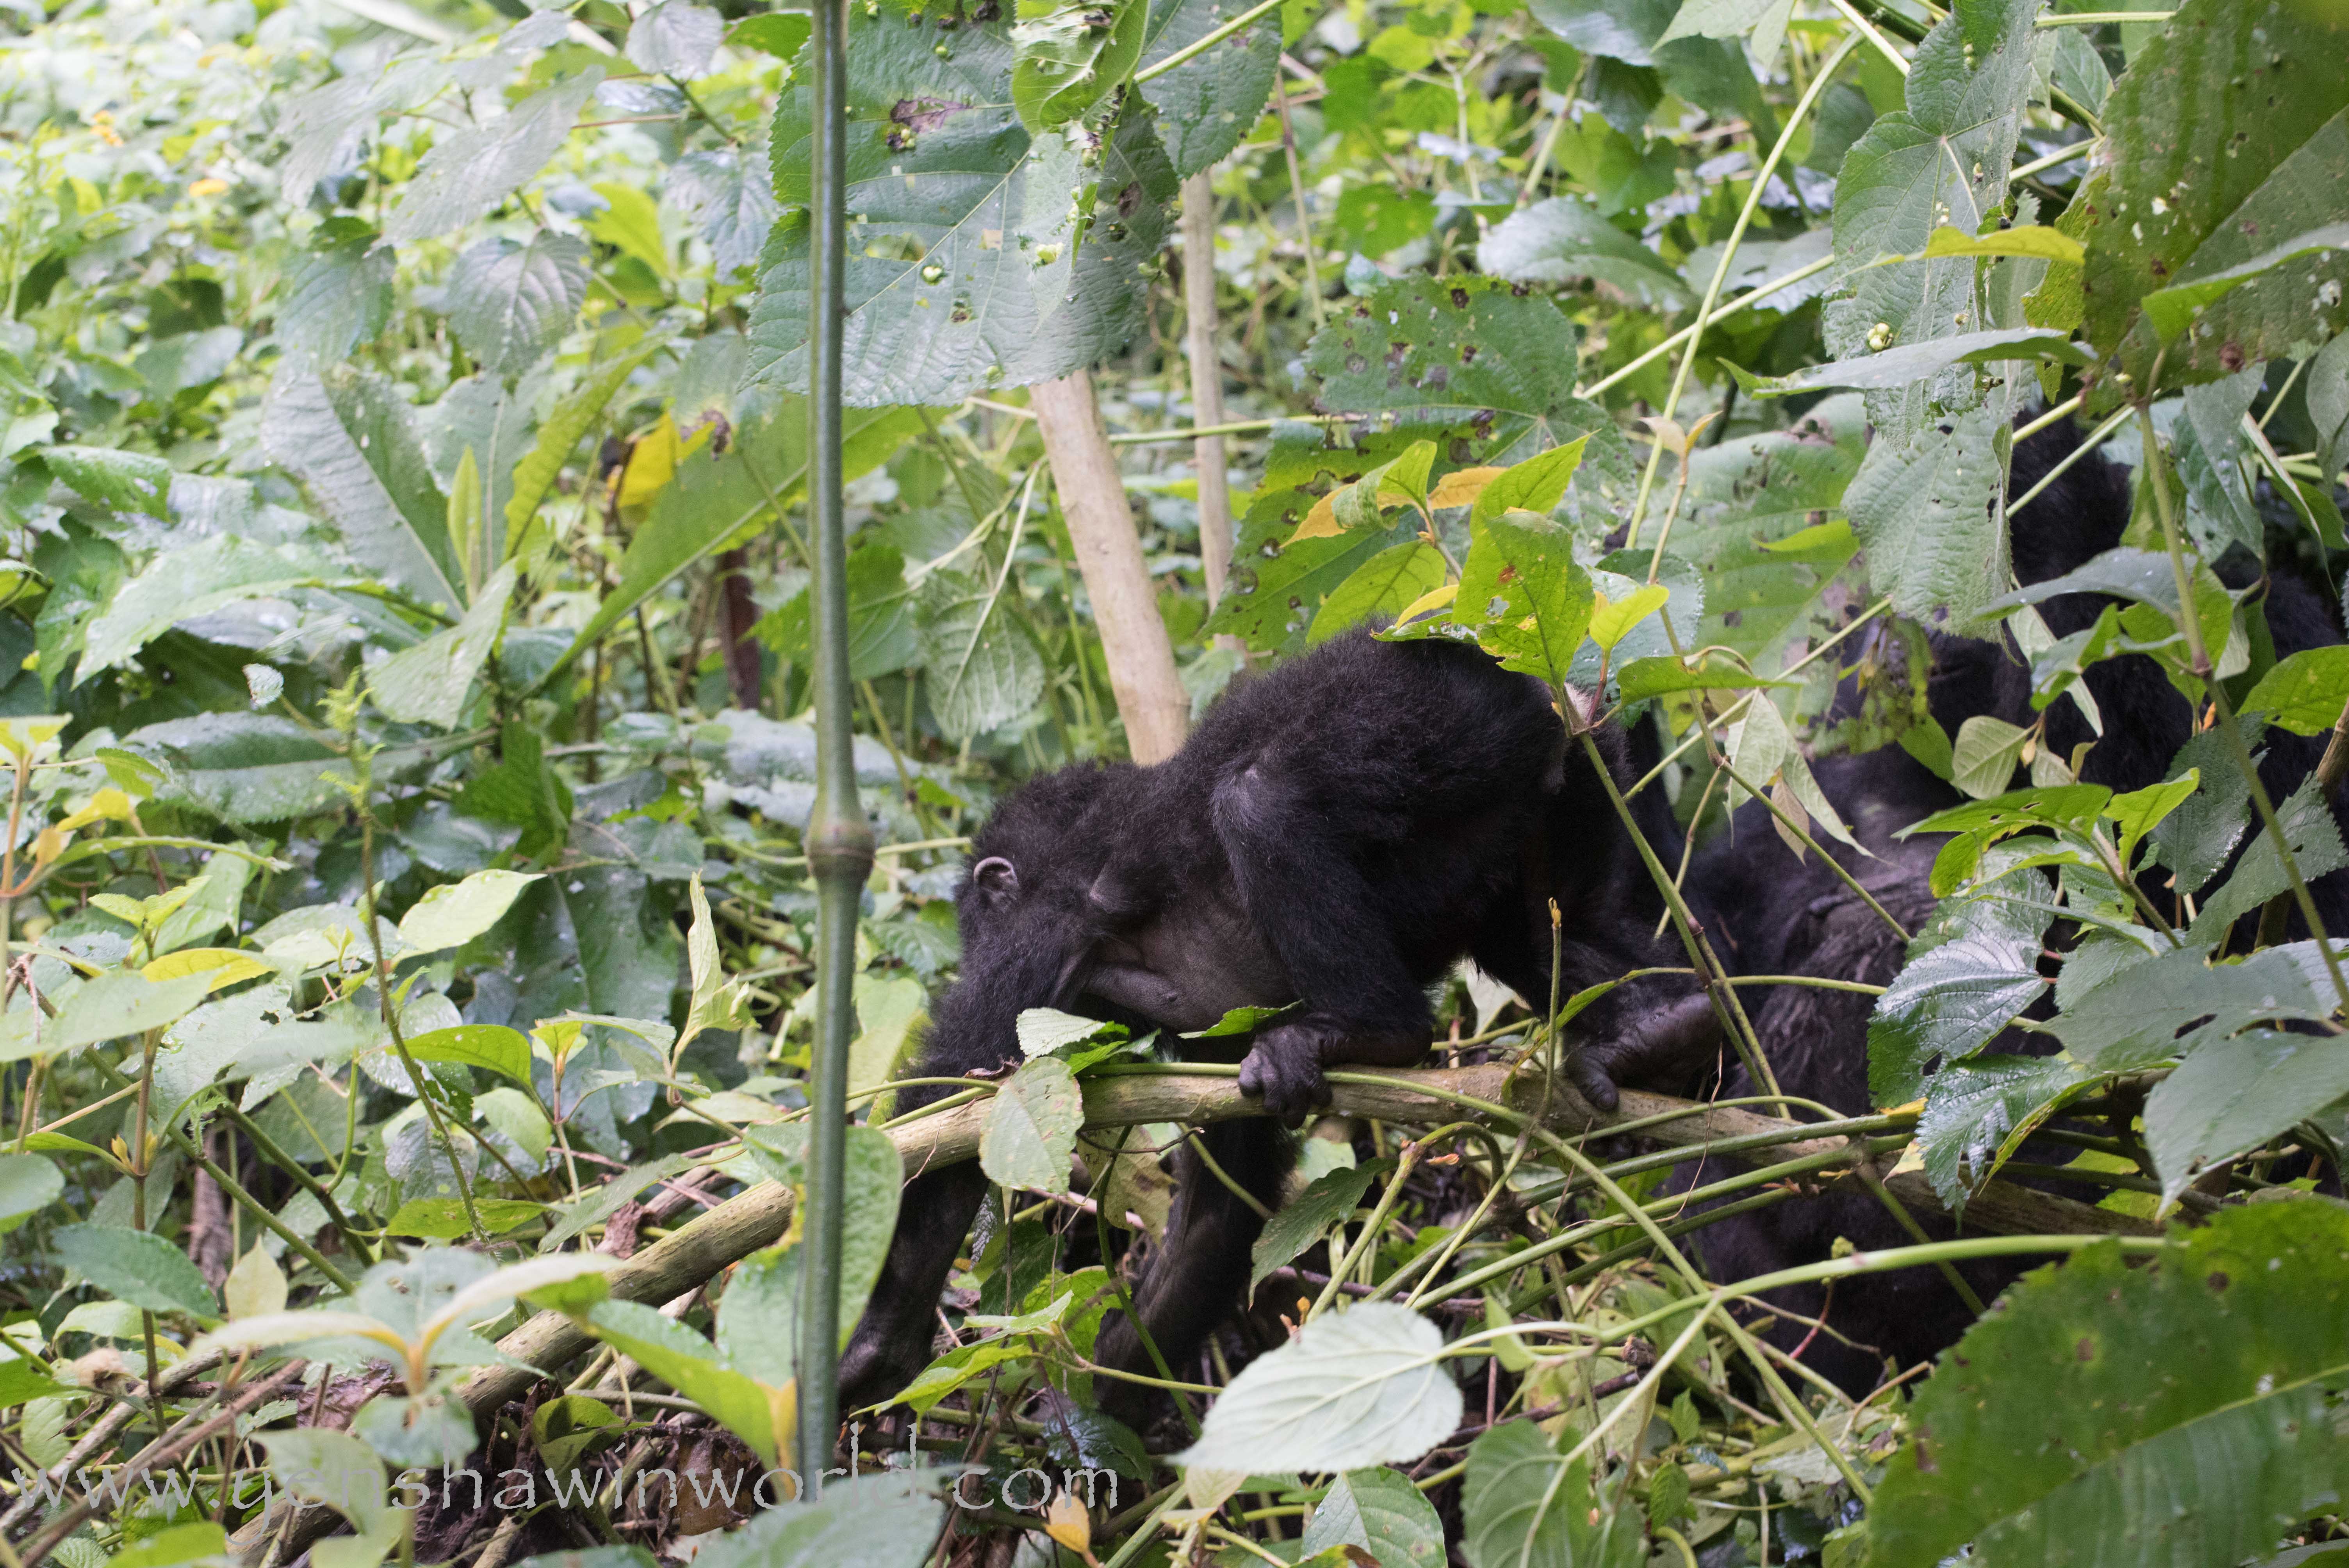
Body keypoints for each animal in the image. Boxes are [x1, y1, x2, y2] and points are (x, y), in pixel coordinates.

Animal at [836, 628, 1728, 1422]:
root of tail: (1549, 685)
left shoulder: (1037, 934)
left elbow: (954, 1116)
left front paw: (877, 1346)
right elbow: (1213, 1214)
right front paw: (1105, 1402)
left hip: (1447, 723)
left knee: (1261, 802)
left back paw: (1378, 1032)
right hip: (1585, 775)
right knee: (1534, 936)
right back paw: (1669, 1029)